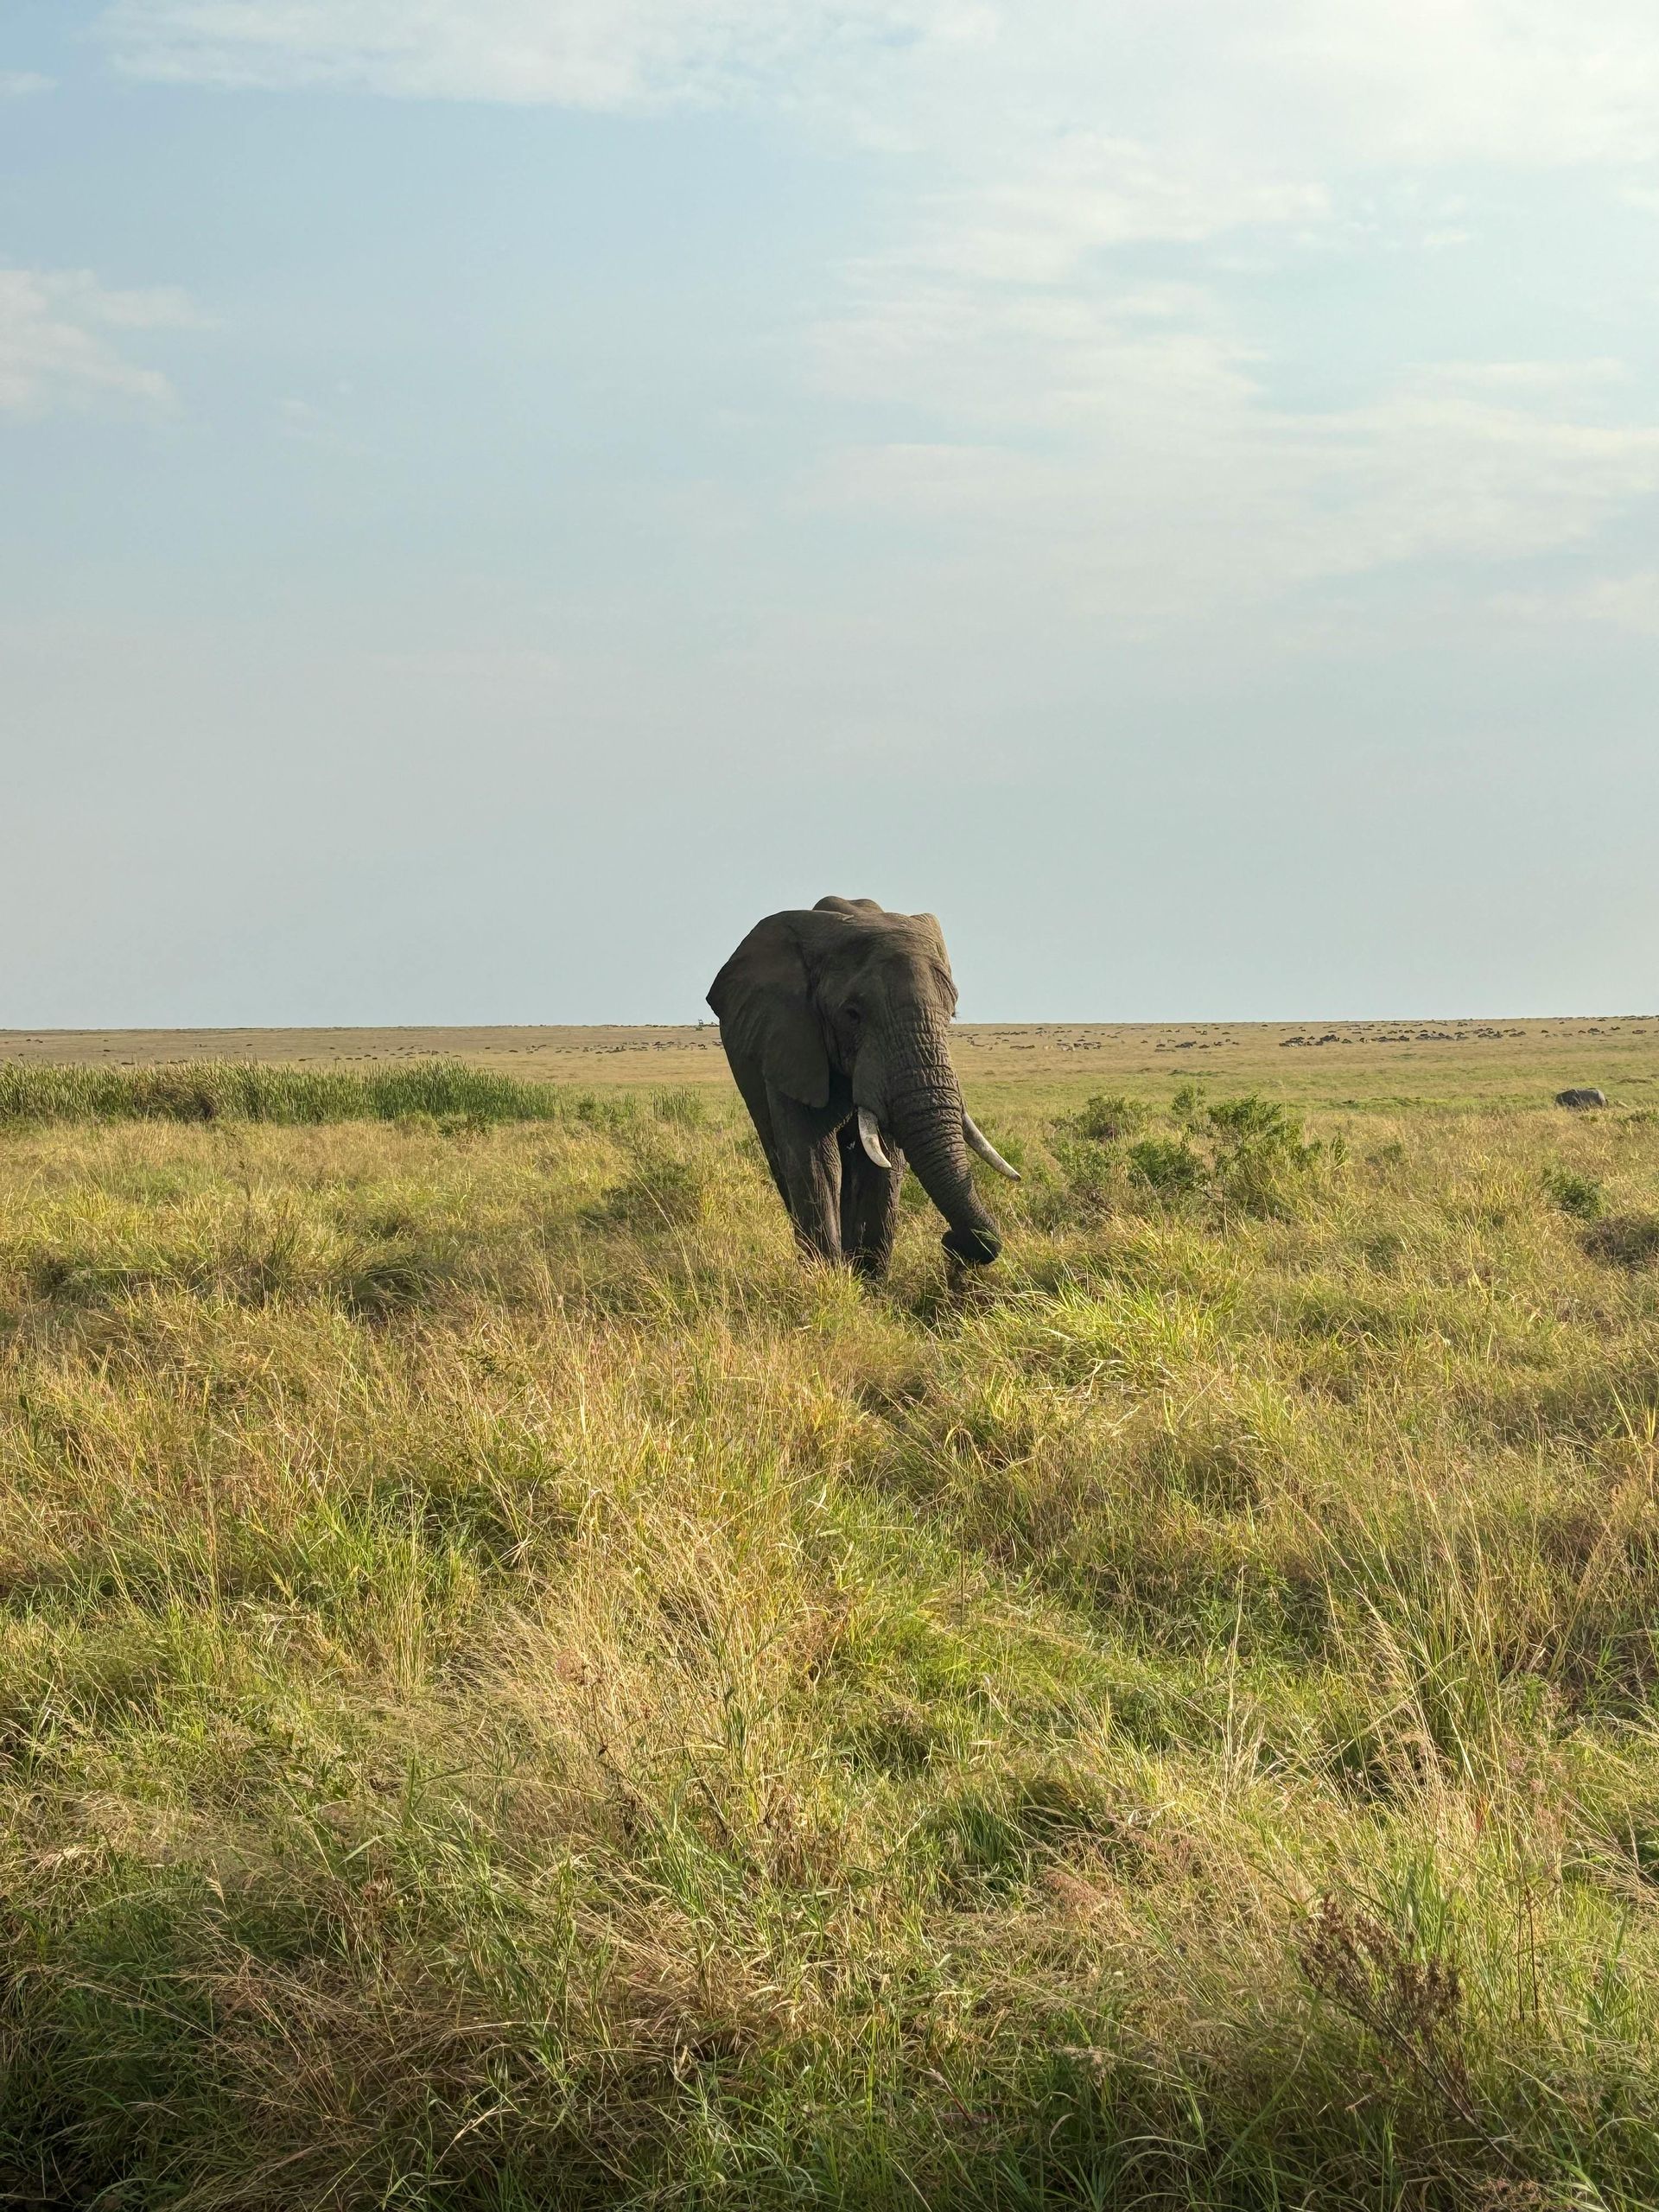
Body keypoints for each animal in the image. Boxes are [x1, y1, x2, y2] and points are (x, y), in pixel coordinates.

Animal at [708, 893, 1021, 1282]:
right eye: (852, 1015)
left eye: (952, 1014)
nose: (951, 1242)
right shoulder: (791, 1040)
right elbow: (816, 1162)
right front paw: (828, 1282)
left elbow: (881, 1166)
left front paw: (867, 1284)